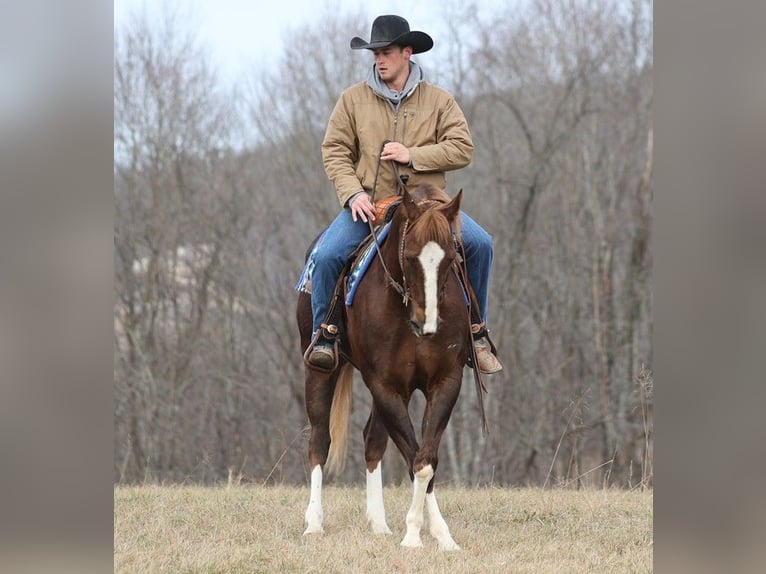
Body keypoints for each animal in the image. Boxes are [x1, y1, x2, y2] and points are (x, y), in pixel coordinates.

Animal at [298, 186, 468, 552]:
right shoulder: (385, 385)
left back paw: (378, 523)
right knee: (319, 439)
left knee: (372, 441)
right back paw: (314, 524)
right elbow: (416, 459)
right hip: (319, 371)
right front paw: (414, 535)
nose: (427, 324)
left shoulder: (445, 382)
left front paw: (440, 535)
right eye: (411, 257)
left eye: (452, 259)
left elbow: (425, 461)